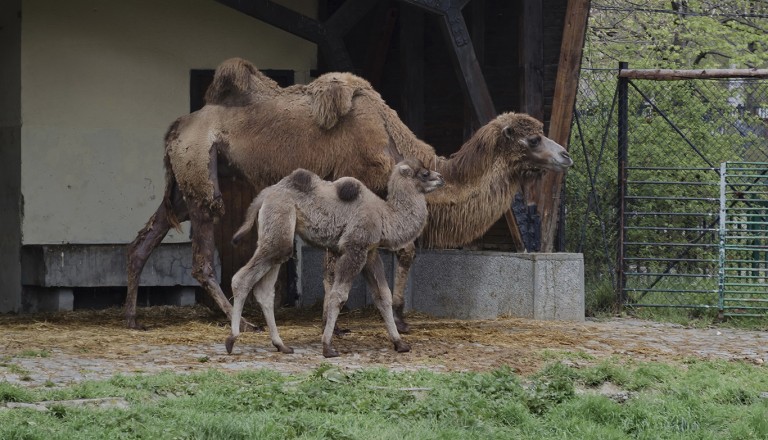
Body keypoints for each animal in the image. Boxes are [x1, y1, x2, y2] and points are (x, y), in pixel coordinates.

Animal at [124, 56, 568, 330]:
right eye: (532, 139)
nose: (564, 155)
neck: (391, 142)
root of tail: (177, 127)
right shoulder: (355, 187)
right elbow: (366, 256)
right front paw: (365, 320)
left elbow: (394, 251)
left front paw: (386, 316)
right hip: (201, 176)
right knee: (201, 257)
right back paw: (245, 321)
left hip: (186, 183)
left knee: (145, 238)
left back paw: (132, 317)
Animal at [225, 158, 444, 358]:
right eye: (424, 173)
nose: (441, 178)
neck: (385, 216)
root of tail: (265, 195)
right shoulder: (354, 248)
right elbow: (338, 295)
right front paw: (327, 346)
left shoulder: (370, 253)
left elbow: (383, 296)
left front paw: (400, 343)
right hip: (279, 224)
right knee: (241, 279)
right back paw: (232, 339)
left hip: (278, 236)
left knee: (265, 290)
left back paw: (281, 345)